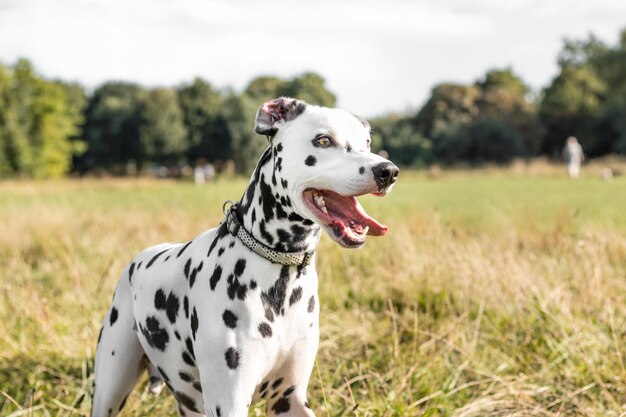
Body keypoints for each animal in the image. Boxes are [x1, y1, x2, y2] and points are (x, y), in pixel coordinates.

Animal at [91, 96, 398, 414]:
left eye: (367, 142)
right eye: (323, 140)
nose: (387, 171)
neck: (279, 275)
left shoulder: (288, 398)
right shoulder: (229, 402)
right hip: (110, 389)